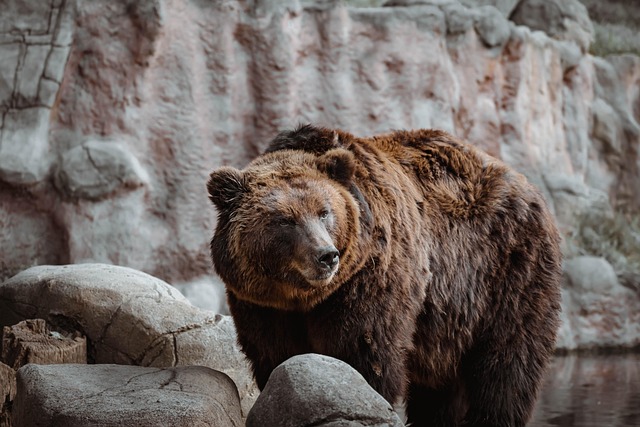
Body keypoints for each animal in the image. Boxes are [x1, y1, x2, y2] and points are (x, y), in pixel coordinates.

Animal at [208, 125, 564, 426]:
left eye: (325, 212)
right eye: (284, 220)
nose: (326, 255)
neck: (303, 297)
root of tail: (527, 185)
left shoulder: (371, 278)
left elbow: (365, 351)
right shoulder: (262, 305)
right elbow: (275, 355)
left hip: (507, 272)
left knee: (506, 364)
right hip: (449, 322)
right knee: (441, 388)